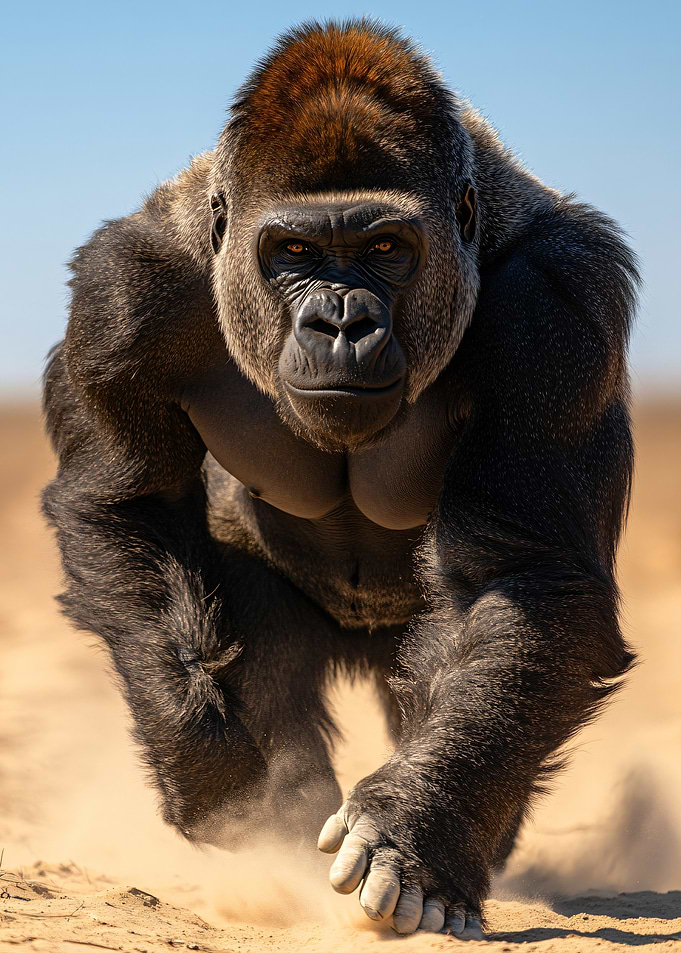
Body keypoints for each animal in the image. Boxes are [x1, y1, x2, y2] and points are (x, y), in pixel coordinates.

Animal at [42, 19, 638, 937]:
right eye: (293, 252)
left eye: (386, 250)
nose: (342, 321)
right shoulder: (125, 293)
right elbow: (126, 506)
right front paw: (214, 775)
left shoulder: (557, 302)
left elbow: (523, 574)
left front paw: (417, 830)